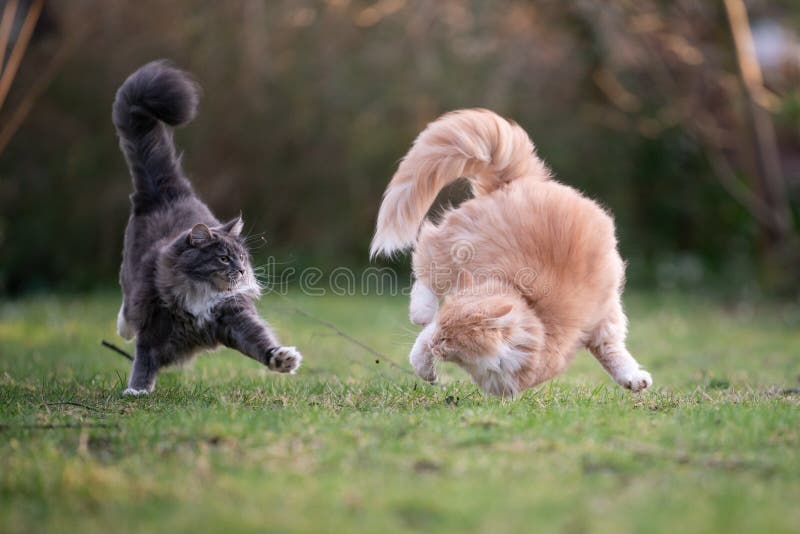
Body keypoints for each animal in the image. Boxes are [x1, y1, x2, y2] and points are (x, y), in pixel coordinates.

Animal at [111, 61, 300, 398]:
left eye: (242, 258)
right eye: (224, 258)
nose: (241, 270)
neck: (200, 294)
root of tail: (170, 192)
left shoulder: (234, 319)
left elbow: (261, 342)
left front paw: (282, 359)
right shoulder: (154, 324)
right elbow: (143, 360)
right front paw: (137, 391)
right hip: (131, 280)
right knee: (127, 310)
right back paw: (124, 328)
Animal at [372, 109, 652, 398]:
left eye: (448, 338)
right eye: (442, 332)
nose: (437, 342)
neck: (535, 317)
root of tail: (519, 179)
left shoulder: (595, 327)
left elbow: (610, 352)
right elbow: (420, 345)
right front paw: (425, 367)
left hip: (608, 308)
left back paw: (635, 378)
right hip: (456, 247)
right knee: (426, 267)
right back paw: (421, 310)